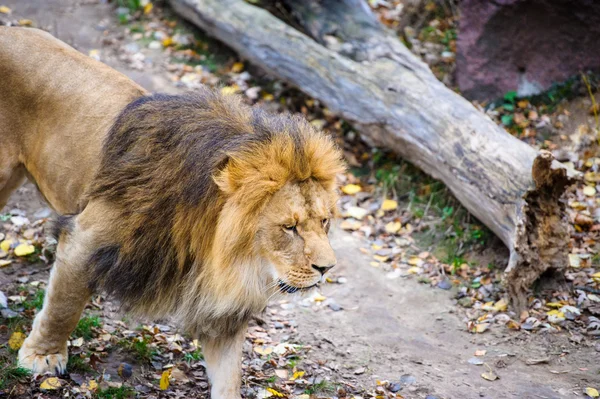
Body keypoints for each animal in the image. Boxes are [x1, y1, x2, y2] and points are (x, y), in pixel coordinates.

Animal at [0, 26, 344, 398]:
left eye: (324, 221)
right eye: (289, 227)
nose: (327, 269)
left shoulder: (219, 302)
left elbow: (229, 374)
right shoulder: (84, 241)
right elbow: (63, 308)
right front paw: (42, 358)